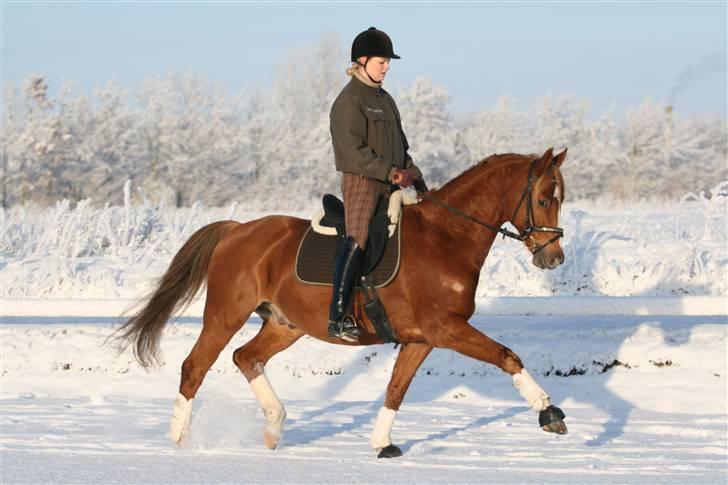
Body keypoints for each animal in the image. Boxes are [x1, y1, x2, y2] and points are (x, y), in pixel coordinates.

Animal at [116, 146, 568, 456]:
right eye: (544, 199)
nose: (553, 258)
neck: (447, 237)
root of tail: (237, 229)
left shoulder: (422, 338)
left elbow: (396, 389)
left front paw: (382, 443)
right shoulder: (446, 328)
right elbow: (507, 355)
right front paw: (548, 413)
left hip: (286, 325)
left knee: (247, 358)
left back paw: (275, 427)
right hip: (225, 315)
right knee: (196, 366)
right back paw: (179, 439)